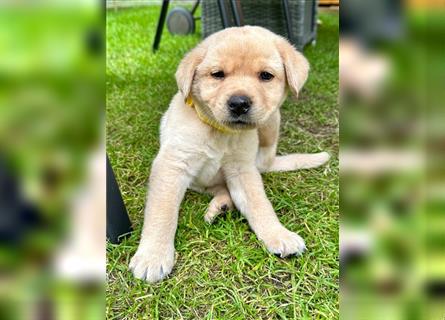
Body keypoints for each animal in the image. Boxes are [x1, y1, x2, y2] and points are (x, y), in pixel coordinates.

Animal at [129, 26, 330, 282]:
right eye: (218, 74)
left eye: (266, 76)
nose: (239, 103)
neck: (219, 131)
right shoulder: (173, 165)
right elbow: (162, 213)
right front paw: (153, 256)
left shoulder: (242, 170)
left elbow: (259, 204)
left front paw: (278, 234)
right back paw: (220, 207)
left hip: (271, 121)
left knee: (264, 158)